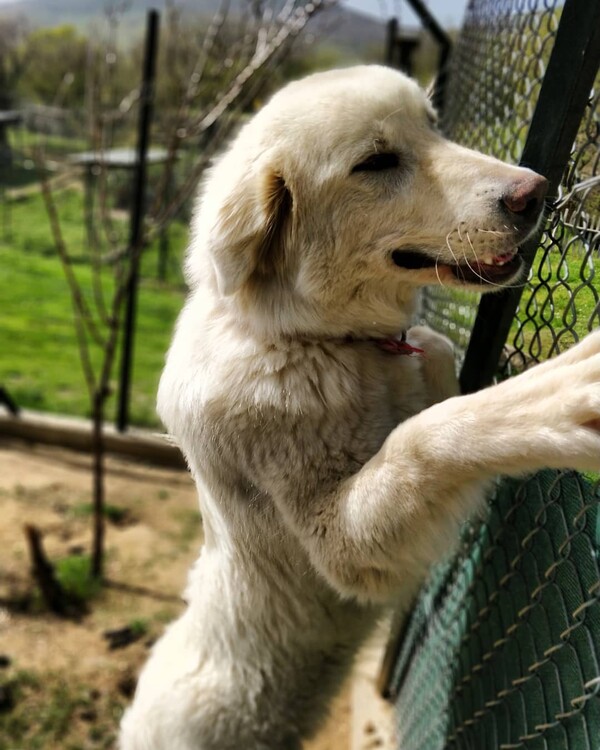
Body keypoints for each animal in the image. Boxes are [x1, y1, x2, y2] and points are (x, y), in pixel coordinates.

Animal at [120, 67, 600, 748]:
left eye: (433, 127)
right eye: (375, 163)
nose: (534, 194)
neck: (308, 338)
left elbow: (433, 364)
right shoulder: (341, 549)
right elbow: (422, 438)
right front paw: (550, 397)